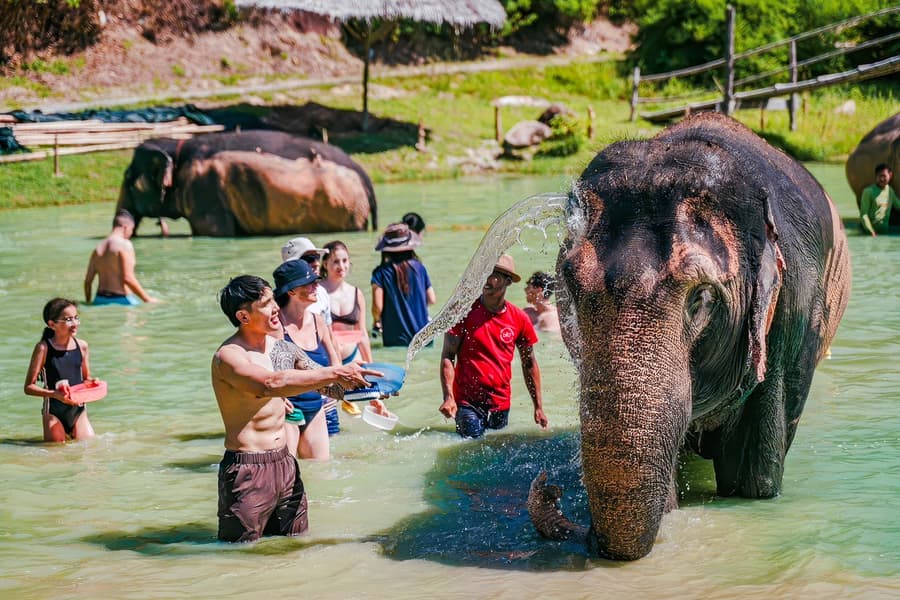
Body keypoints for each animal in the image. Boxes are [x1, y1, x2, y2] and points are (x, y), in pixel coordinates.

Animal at [116, 130, 377, 236]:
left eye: (128, 178)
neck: (176, 146)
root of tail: (365, 177)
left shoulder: (205, 193)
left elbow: (213, 230)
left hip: (347, 209)